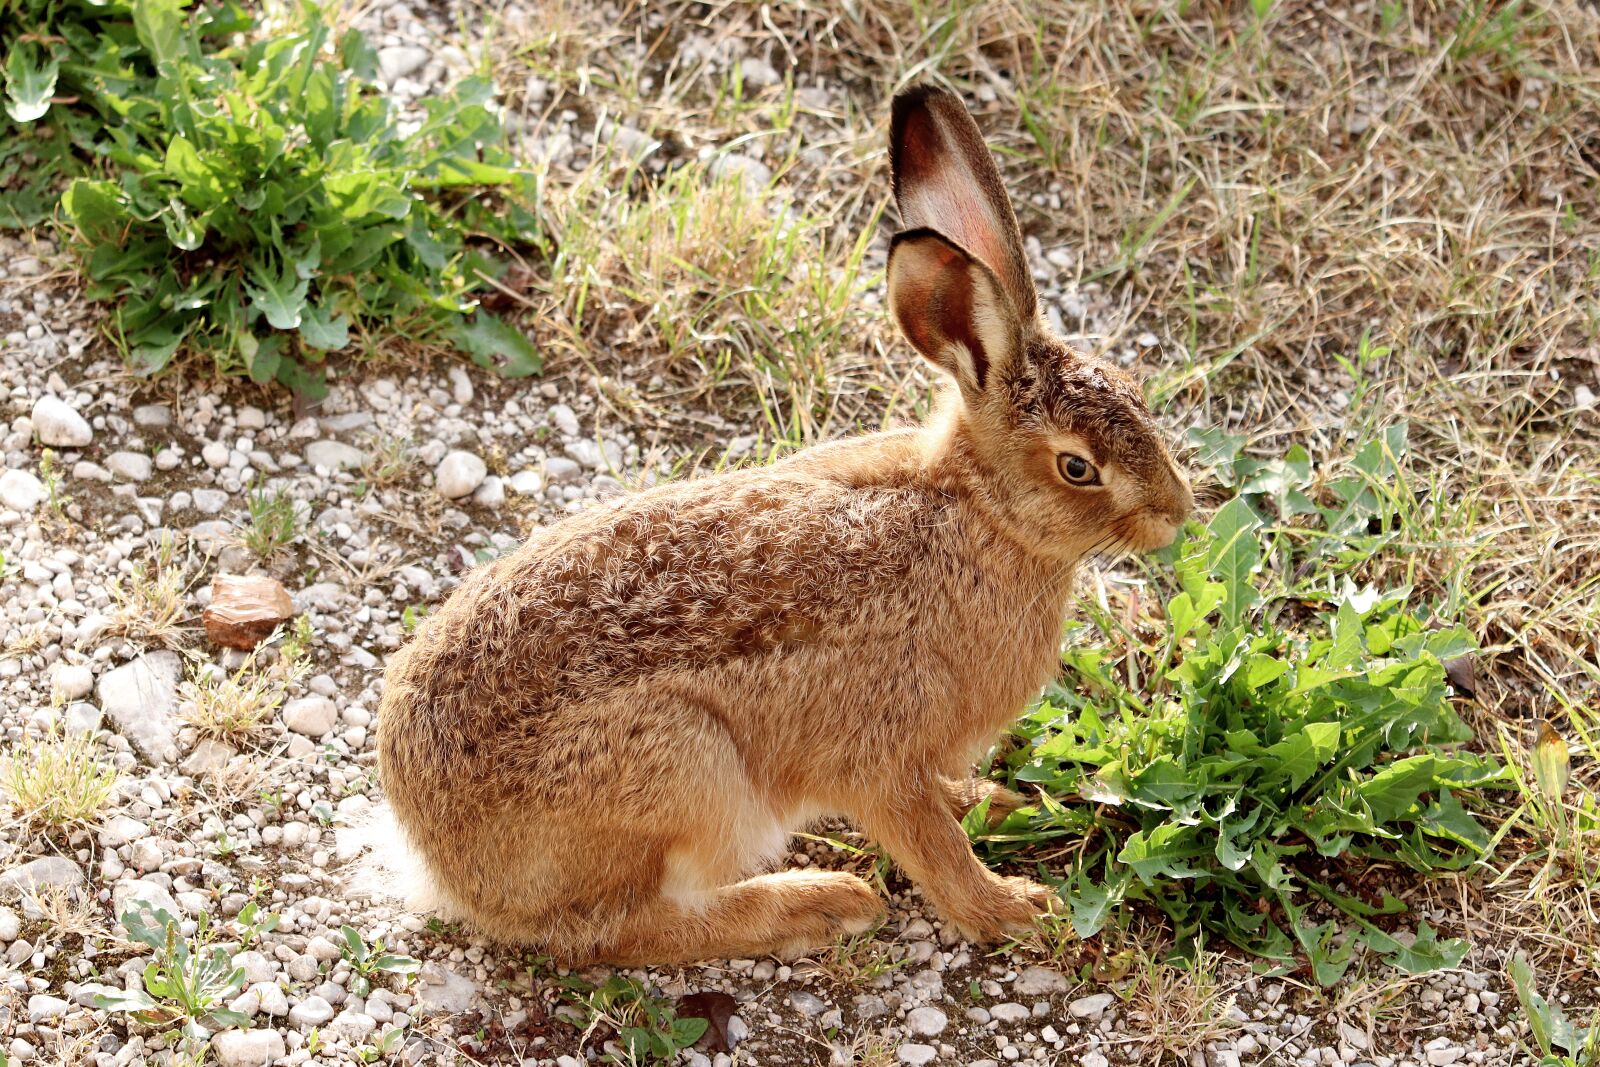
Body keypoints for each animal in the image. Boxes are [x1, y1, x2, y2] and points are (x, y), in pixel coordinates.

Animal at [375, 84, 1194, 965]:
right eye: (1078, 467)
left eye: (1134, 390)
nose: (1176, 513)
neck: (976, 512)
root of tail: (439, 857)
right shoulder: (878, 756)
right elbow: (933, 845)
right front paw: (1015, 908)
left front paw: (999, 799)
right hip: (691, 772)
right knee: (620, 931)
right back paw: (819, 902)